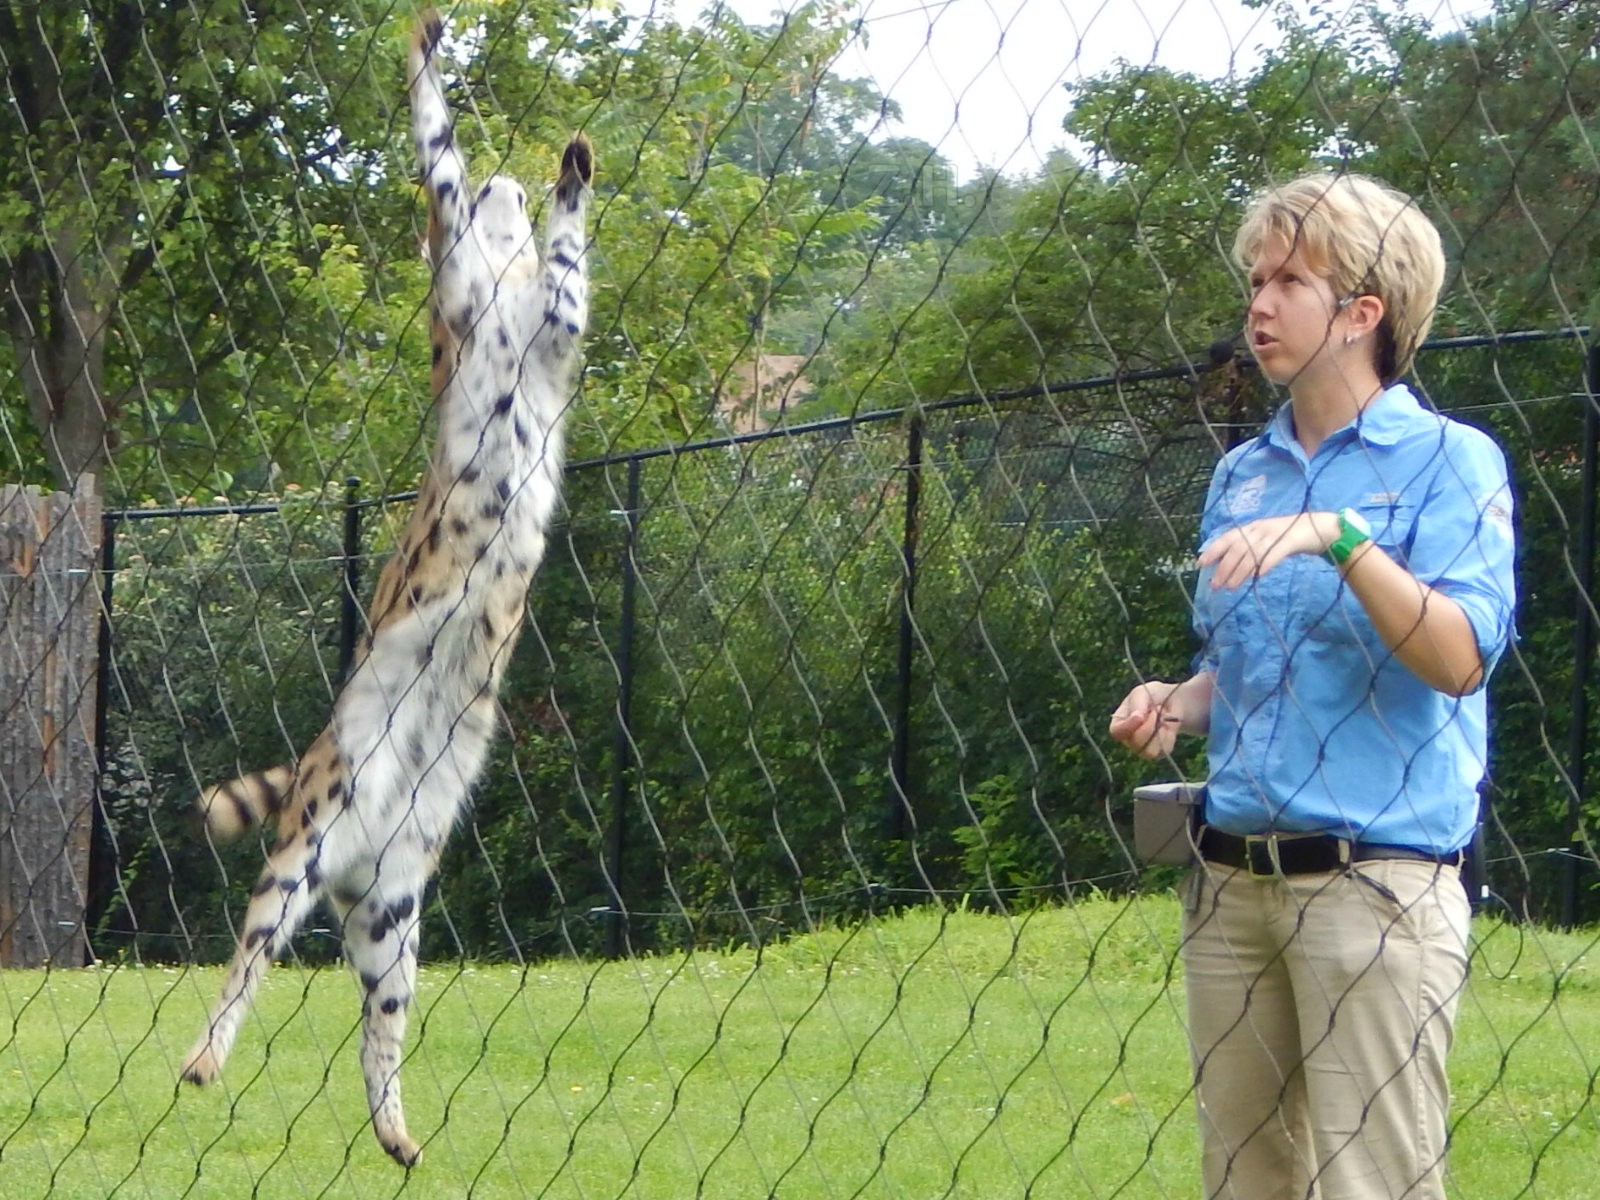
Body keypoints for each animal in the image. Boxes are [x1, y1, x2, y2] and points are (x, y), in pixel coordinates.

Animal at [178, 9, 594, 1168]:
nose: (510, 170)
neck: (503, 283)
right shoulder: (475, 272)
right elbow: (434, 142)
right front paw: (431, 56)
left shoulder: (558, 323)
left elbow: (568, 249)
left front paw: (567, 175)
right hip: (305, 847)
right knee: (243, 966)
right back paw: (204, 1058)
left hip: (393, 919)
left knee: (377, 1034)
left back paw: (397, 1131)